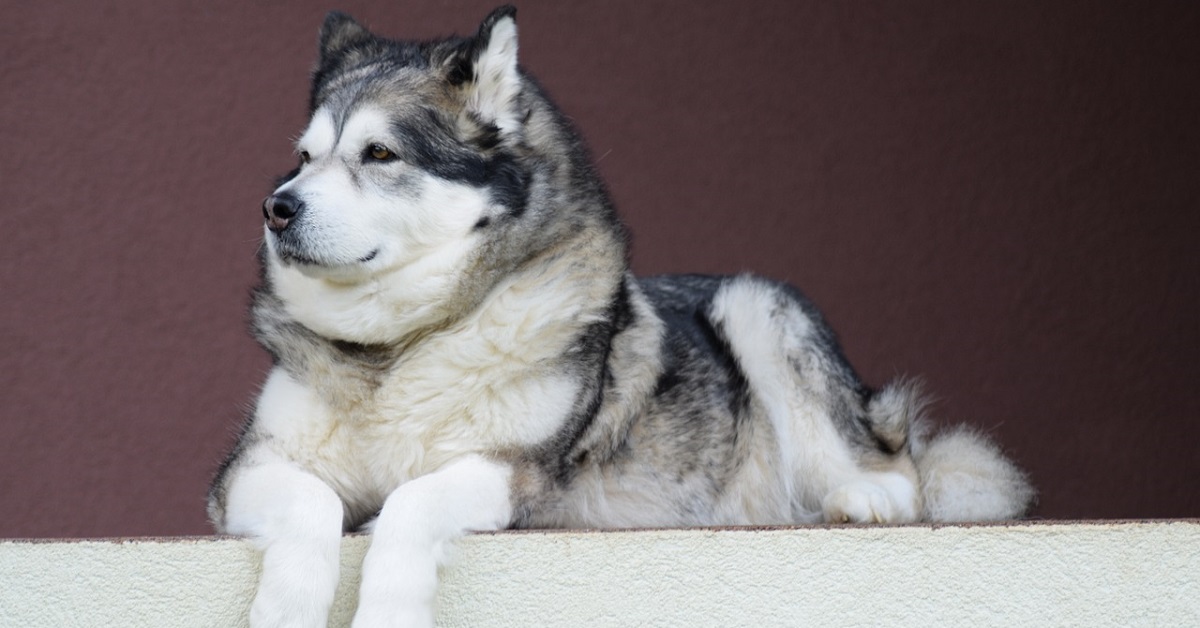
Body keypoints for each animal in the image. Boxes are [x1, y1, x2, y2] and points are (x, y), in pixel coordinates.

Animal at [208, 7, 1032, 624]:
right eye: (305, 158)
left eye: (380, 154)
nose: (276, 208)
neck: (403, 344)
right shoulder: (246, 472)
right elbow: (313, 502)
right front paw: (287, 609)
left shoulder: (514, 472)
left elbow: (410, 503)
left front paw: (387, 608)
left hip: (757, 303)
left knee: (900, 471)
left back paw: (862, 496)